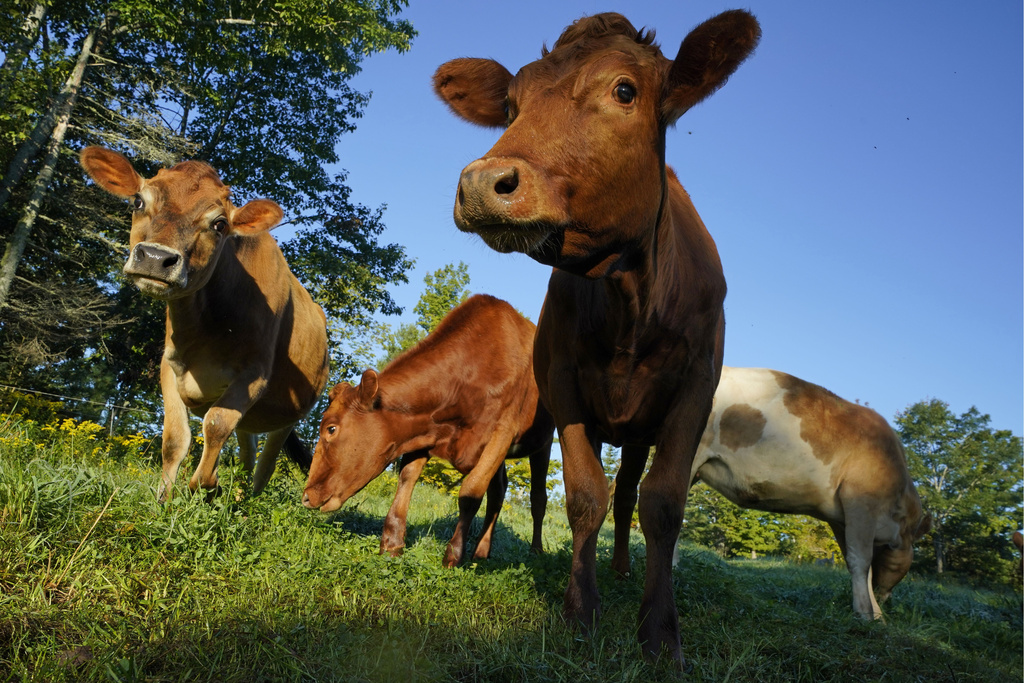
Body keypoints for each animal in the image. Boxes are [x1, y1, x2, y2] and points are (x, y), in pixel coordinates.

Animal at [79, 148, 327, 501]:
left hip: (290, 416)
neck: (204, 331)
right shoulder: (170, 366)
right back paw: (236, 497)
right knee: (247, 452)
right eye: (138, 201)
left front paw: (206, 485)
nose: (155, 258)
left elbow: (216, 424)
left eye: (219, 223)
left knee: (265, 464)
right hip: (252, 421)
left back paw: (247, 501)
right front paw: (164, 499)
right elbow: (174, 440)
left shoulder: (254, 376)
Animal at [299, 294, 552, 565]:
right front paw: (392, 544)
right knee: (498, 492)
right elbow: (406, 478)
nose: (306, 496)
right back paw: (481, 553)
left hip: (543, 442)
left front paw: (453, 556)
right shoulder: (423, 431)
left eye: (331, 429)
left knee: (538, 498)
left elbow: (471, 492)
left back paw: (535, 552)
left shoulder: (502, 433)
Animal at [432, 10, 761, 663]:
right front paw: (580, 610)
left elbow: (663, 503)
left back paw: (623, 569)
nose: (482, 183)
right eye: (511, 105)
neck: (629, 299)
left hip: (640, 430)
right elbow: (586, 494)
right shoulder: (563, 384)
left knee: (633, 493)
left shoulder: (695, 389)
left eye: (624, 91)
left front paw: (659, 631)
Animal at [610, 368, 933, 618]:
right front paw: (870, 614)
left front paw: (868, 606)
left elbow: (856, 563)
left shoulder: (841, 517)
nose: (887, 598)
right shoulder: (861, 502)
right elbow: (861, 561)